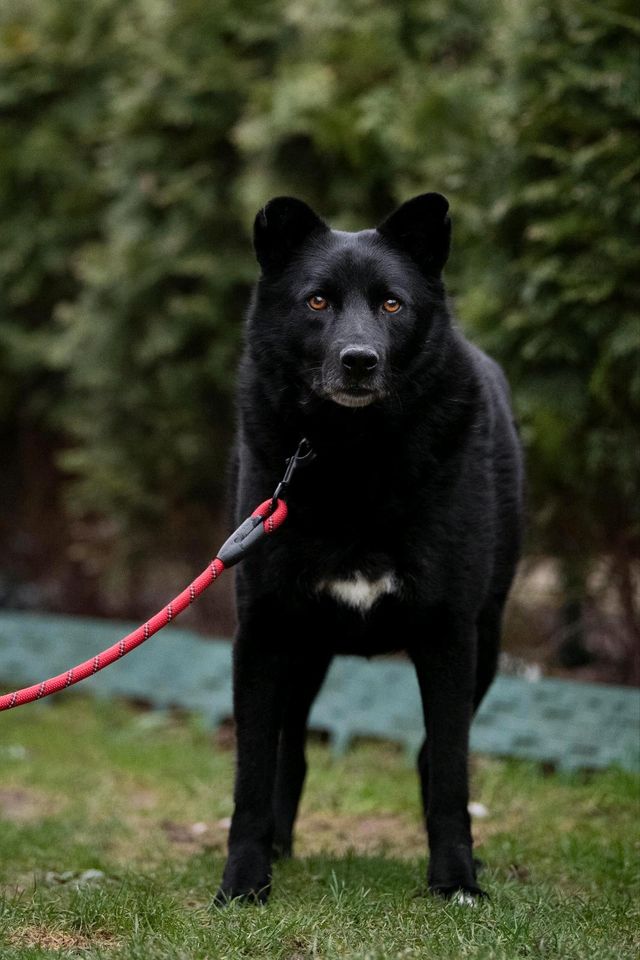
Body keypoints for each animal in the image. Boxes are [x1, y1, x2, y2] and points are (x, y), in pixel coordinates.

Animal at [218, 193, 524, 900]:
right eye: (316, 301)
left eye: (391, 304)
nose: (359, 361)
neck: (352, 455)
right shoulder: (264, 632)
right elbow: (252, 777)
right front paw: (242, 885)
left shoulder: (449, 634)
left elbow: (451, 773)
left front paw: (457, 882)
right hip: (304, 652)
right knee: (292, 752)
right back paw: (279, 849)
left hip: (488, 643)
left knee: (432, 757)